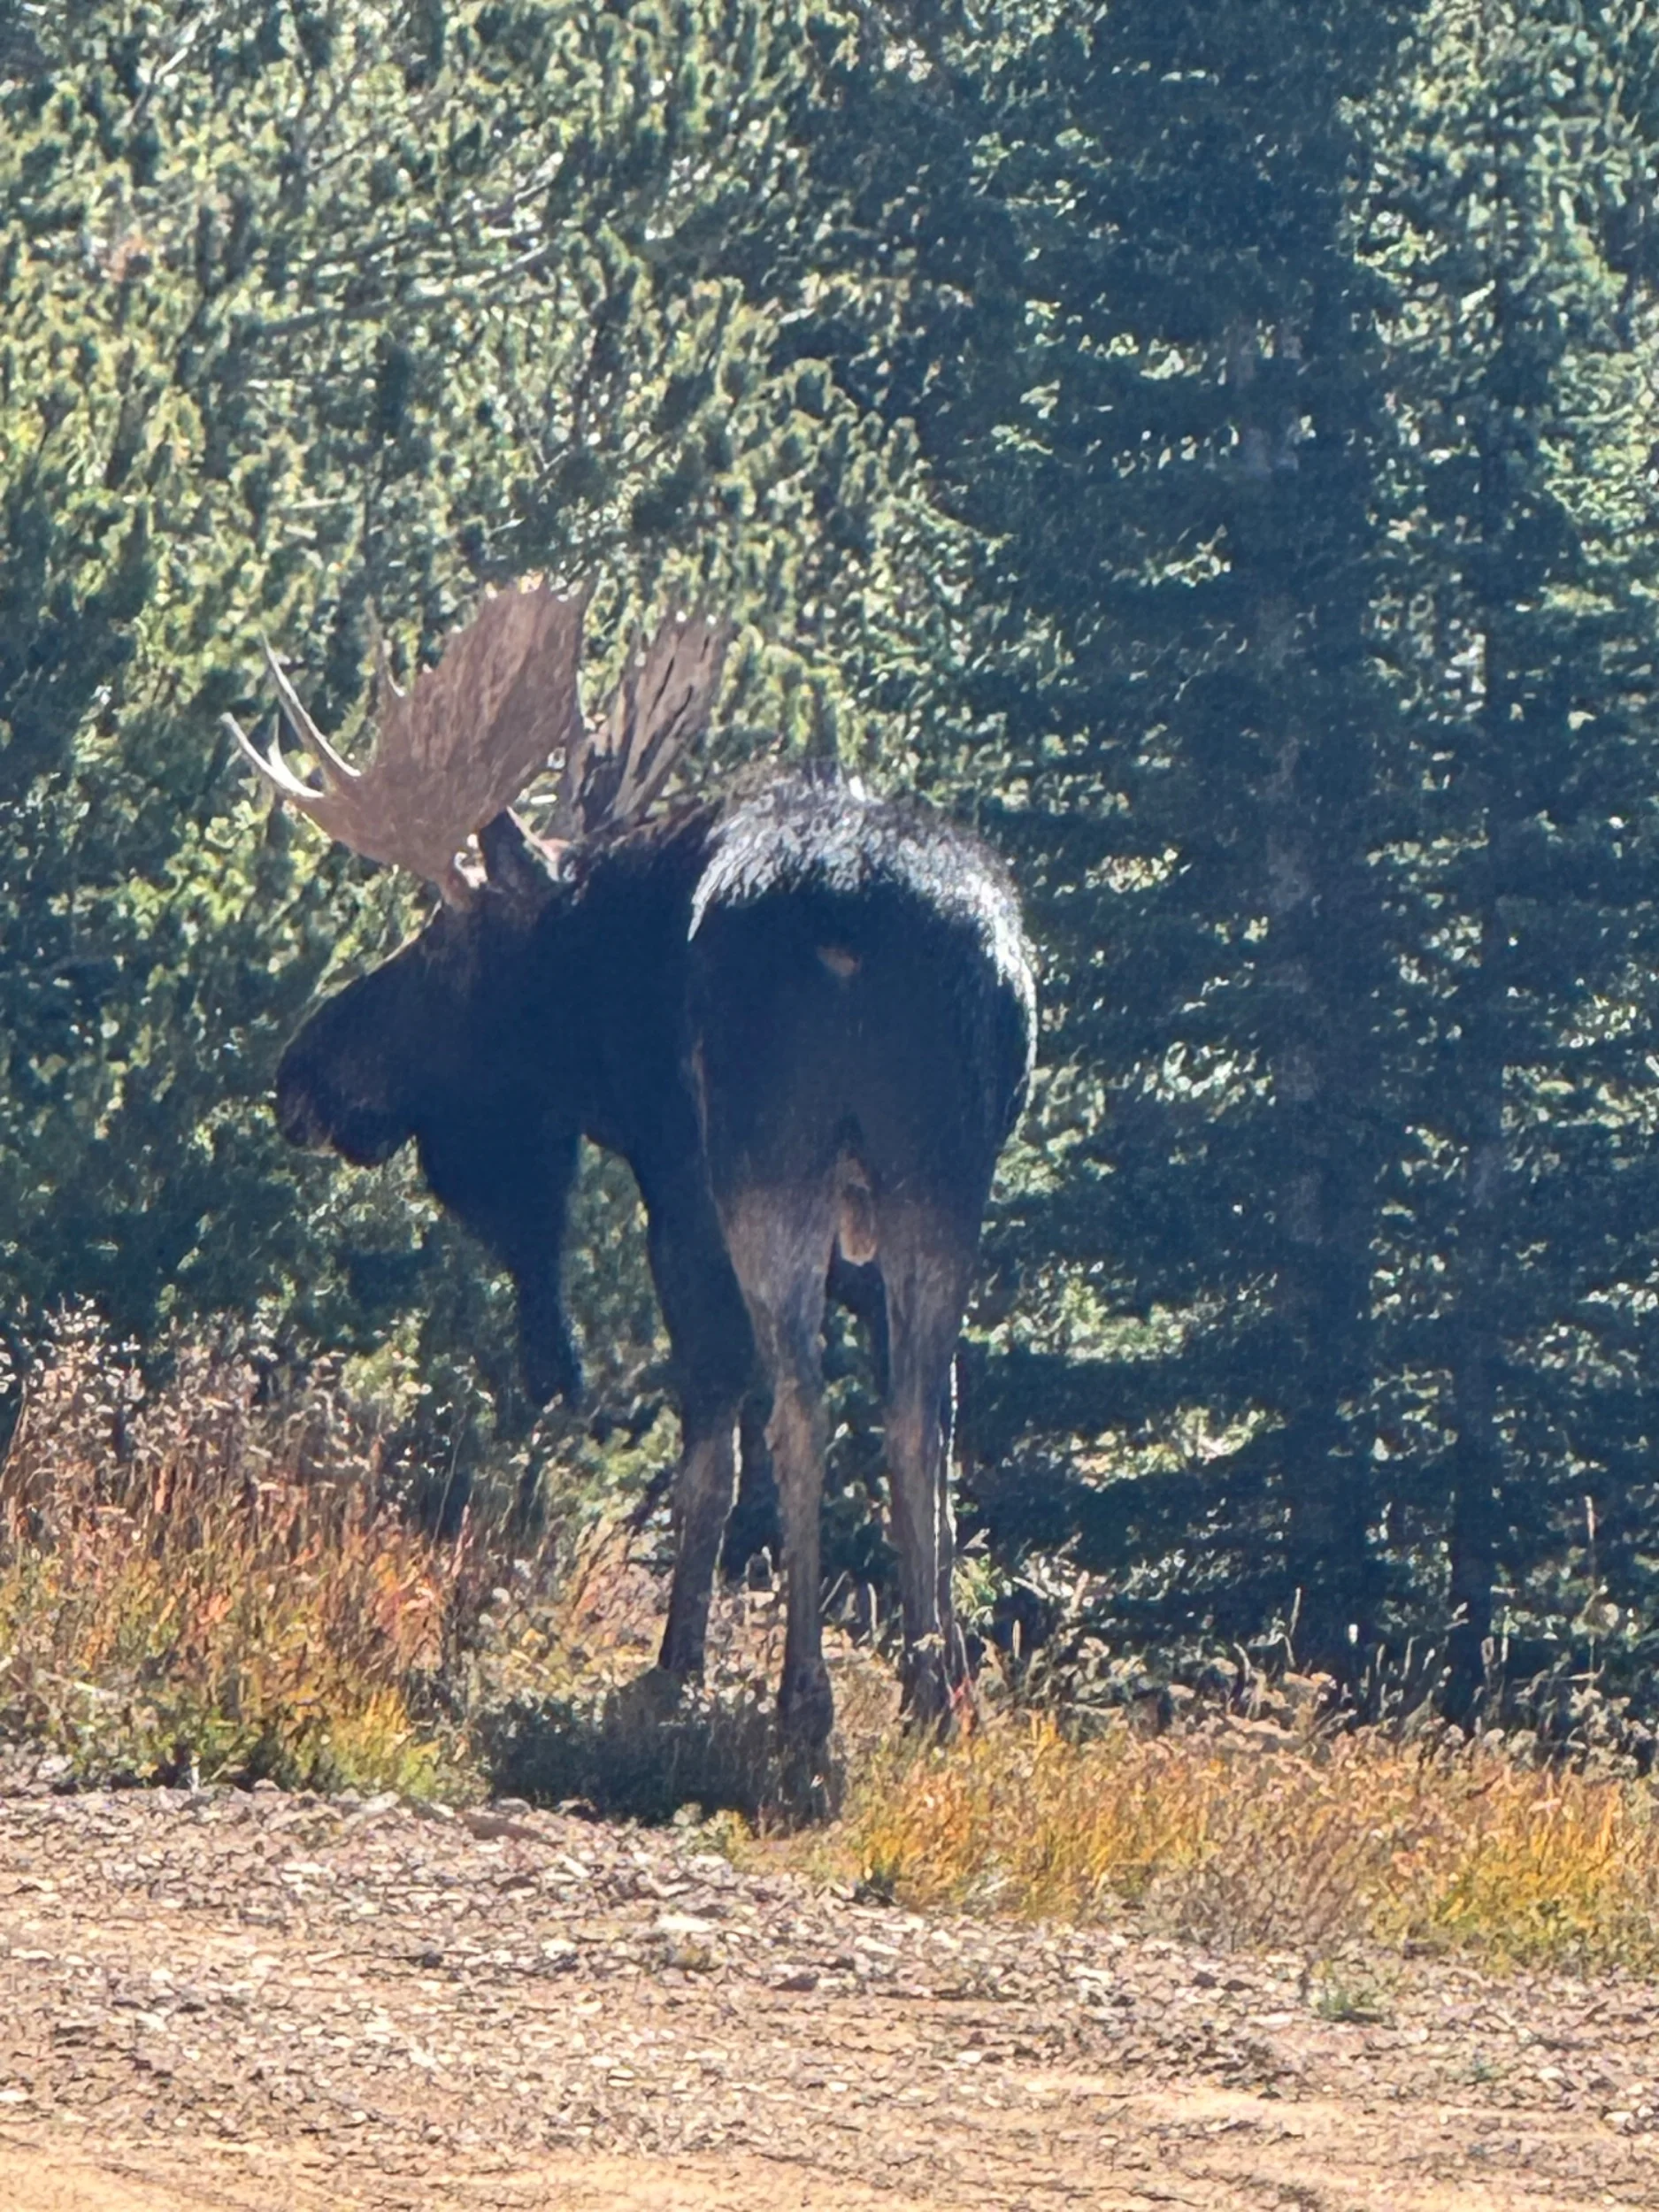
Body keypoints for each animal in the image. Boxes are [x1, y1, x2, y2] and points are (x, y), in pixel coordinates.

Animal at [227, 582, 1035, 1752]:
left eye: (436, 946)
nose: (303, 1074)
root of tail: (875, 923)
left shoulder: (677, 1188)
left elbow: (712, 1439)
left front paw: (676, 1663)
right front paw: (944, 1671)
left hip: (769, 1161)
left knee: (799, 1401)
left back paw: (803, 1700)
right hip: (941, 1173)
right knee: (922, 1409)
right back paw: (933, 1693)